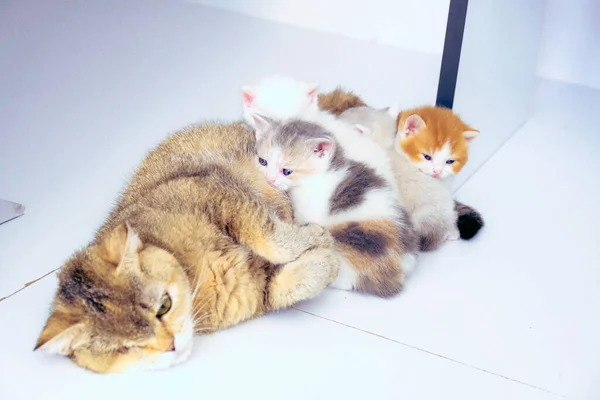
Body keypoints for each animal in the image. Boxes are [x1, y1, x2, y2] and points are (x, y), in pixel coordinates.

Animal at [34, 119, 342, 376]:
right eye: (127, 348)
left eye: (164, 306)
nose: (170, 345)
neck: (193, 275)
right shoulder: (254, 291)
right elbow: (289, 285)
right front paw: (326, 258)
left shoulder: (221, 195)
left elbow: (271, 237)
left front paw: (317, 238)